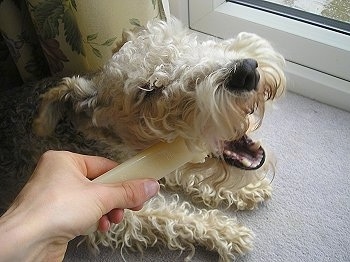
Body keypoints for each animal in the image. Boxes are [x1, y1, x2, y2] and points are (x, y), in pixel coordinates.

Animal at [0, 19, 284, 260]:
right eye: (148, 90)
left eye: (185, 41)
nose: (246, 72)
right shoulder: (111, 213)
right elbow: (171, 217)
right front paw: (227, 233)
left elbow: (186, 175)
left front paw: (251, 190)